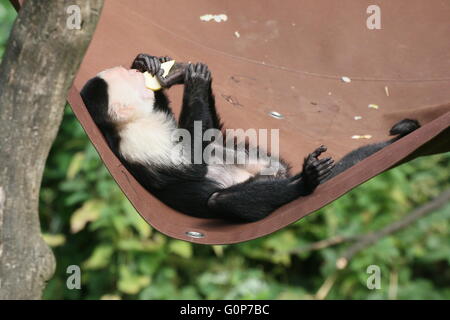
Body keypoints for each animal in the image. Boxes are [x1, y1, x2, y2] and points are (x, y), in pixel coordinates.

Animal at [79, 53, 420, 222]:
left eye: (132, 75)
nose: (137, 74)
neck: (138, 121)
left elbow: (201, 136)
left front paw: (156, 66)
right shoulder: (136, 141)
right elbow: (194, 165)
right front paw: (194, 79)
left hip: (264, 166)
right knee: (220, 201)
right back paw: (304, 183)